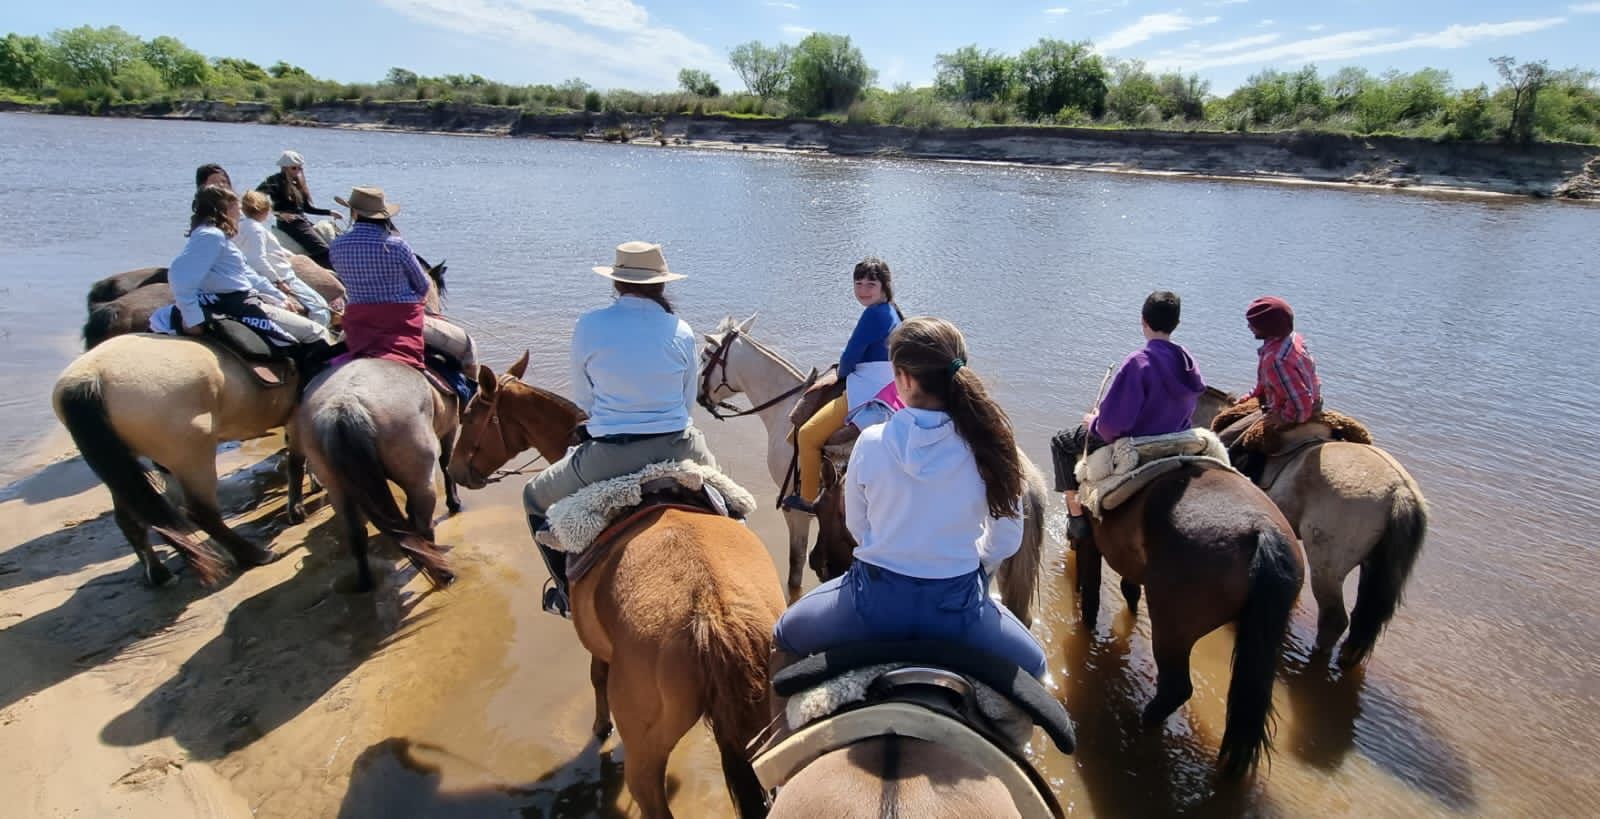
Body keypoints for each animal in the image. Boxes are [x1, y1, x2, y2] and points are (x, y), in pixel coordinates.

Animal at [284, 355, 460, 591]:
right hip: (421, 478)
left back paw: (365, 582)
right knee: (425, 528)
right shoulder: (451, 427)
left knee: (356, 536)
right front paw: (454, 502)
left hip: (337, 486)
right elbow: (447, 464)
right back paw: (442, 572)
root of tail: (346, 404)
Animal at [444, 355, 787, 815]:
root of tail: (711, 612)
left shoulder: (595, 643)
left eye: (469, 415)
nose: (454, 469)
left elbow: (596, 677)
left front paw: (600, 725)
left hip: (645, 750)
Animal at [1068, 454, 1305, 780]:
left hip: (1172, 626)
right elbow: (1129, 591)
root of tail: (1262, 531)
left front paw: (1086, 628)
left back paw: (1140, 722)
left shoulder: (1093, 541)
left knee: (1176, 688)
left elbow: (1092, 593)